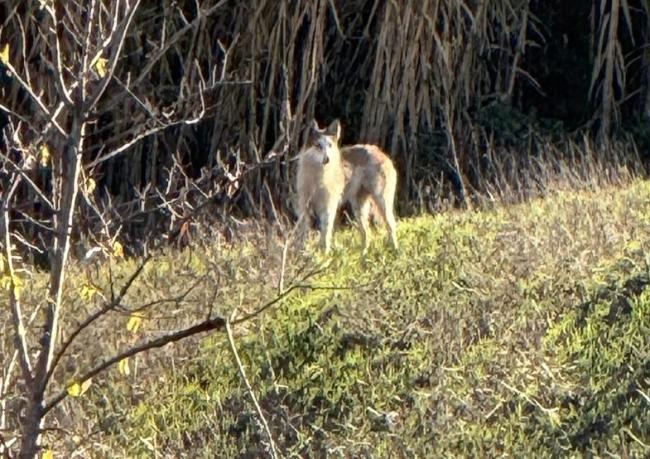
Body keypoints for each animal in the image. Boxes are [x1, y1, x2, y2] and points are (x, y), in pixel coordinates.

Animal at [295, 119, 398, 254]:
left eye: (330, 146)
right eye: (318, 145)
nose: (327, 159)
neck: (317, 177)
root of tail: (378, 151)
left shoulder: (328, 208)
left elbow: (325, 235)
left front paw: (325, 255)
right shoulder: (304, 207)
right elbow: (303, 234)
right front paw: (302, 253)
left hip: (381, 202)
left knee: (391, 226)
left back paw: (395, 251)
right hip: (358, 208)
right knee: (367, 233)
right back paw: (363, 255)